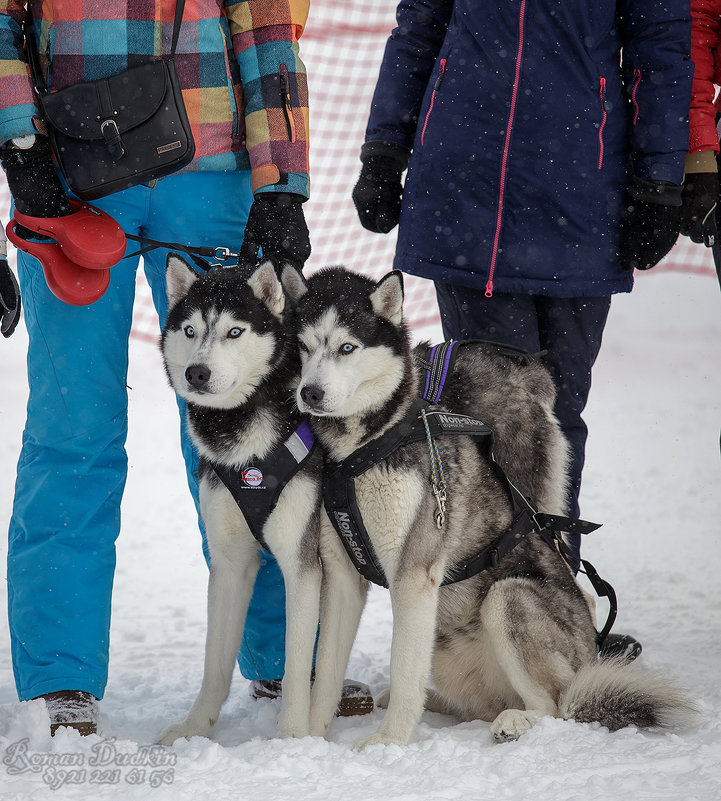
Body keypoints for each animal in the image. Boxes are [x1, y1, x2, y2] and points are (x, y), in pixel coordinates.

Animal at [160, 256, 324, 744]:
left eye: (235, 331)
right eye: (190, 330)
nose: (196, 373)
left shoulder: (302, 563)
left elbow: (295, 661)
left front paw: (291, 739)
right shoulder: (230, 563)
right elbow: (215, 664)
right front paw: (195, 728)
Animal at [280, 264, 692, 752]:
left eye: (347, 347)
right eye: (304, 347)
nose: (310, 393)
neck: (362, 448)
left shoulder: (413, 575)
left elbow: (403, 668)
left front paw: (389, 741)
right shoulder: (343, 572)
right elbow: (327, 670)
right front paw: (310, 740)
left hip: (506, 598)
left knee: (556, 705)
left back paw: (517, 720)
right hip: (444, 645)